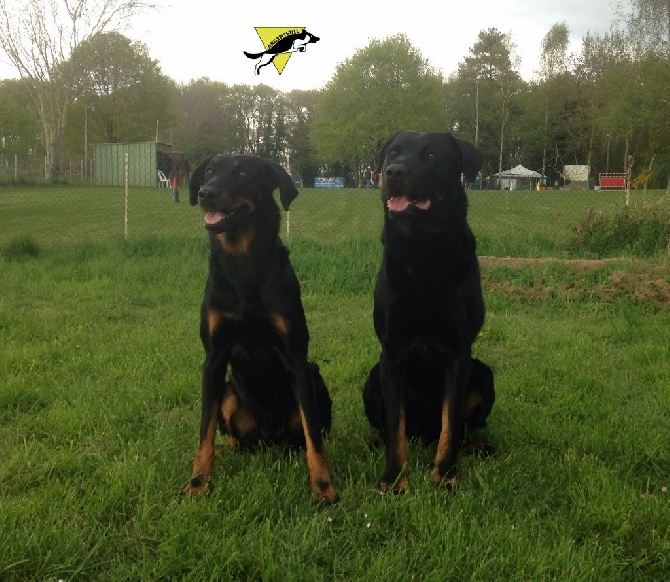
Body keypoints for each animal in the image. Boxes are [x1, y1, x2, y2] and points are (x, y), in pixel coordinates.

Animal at [182, 155, 338, 506]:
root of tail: (270, 436)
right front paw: (198, 483)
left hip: (315, 377)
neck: (243, 264)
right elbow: (204, 432)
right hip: (229, 392)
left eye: (242, 172)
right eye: (209, 171)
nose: (206, 193)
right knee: (234, 438)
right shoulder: (213, 359)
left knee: (309, 435)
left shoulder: (297, 358)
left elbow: (314, 438)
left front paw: (323, 486)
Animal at [364, 130, 496, 496]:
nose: (393, 172)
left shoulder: (459, 352)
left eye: (431, 155)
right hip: (371, 381)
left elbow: (451, 424)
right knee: (390, 428)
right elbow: (395, 427)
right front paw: (394, 478)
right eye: (393, 152)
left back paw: (478, 447)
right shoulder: (391, 352)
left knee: (464, 428)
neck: (422, 251)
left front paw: (446, 474)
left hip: (484, 375)